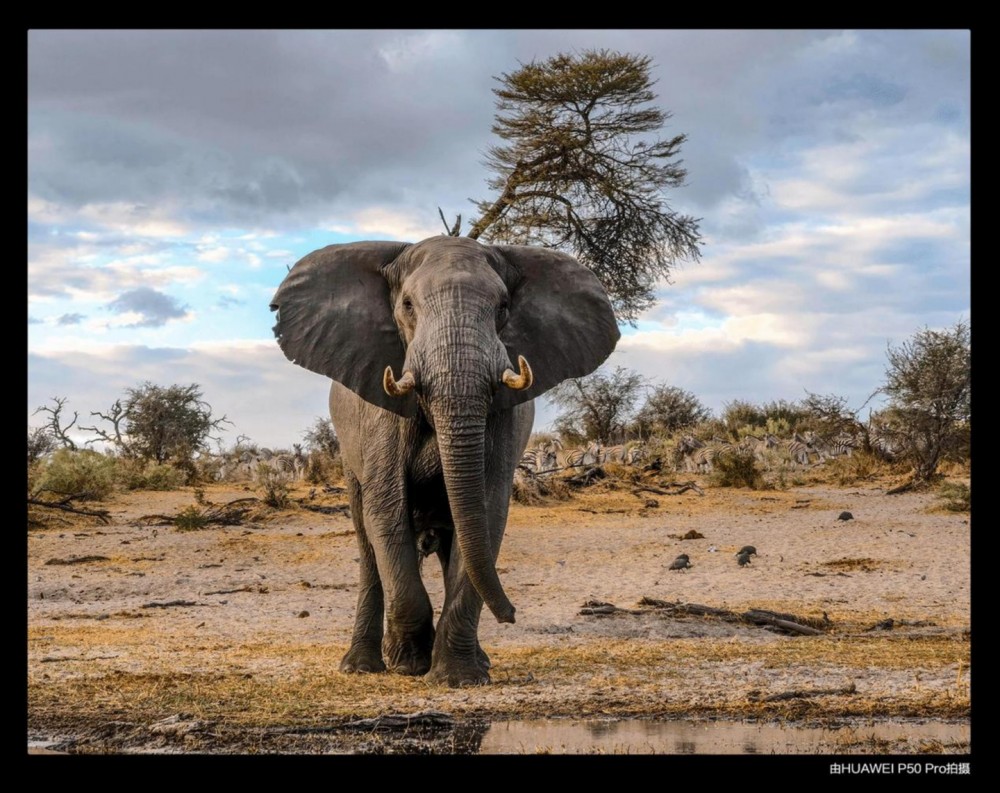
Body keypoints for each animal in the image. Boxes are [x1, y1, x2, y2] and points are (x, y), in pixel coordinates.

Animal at [270, 234, 620, 680]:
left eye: (503, 307)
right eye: (407, 305)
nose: (511, 615)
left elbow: (486, 511)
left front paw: (459, 676)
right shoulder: (381, 411)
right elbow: (387, 509)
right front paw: (409, 663)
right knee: (369, 545)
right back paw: (362, 666)